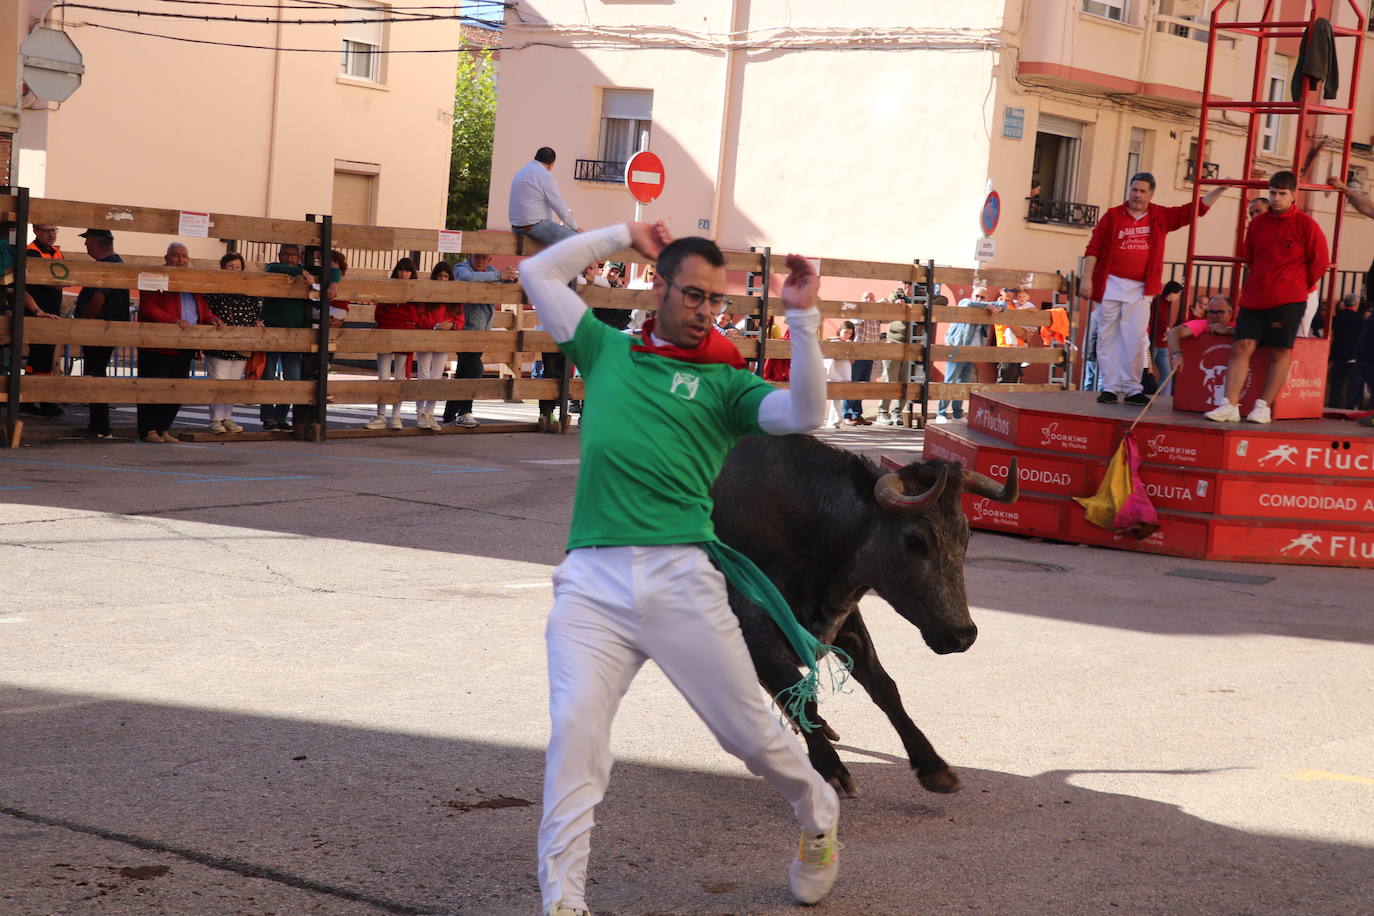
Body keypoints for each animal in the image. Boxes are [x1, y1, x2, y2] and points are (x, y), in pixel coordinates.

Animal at [708, 433, 1022, 796]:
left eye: (966, 535)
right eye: (916, 540)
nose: (962, 635)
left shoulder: (845, 619)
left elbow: (884, 686)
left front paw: (933, 765)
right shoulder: (753, 623)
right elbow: (797, 688)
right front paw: (830, 767)